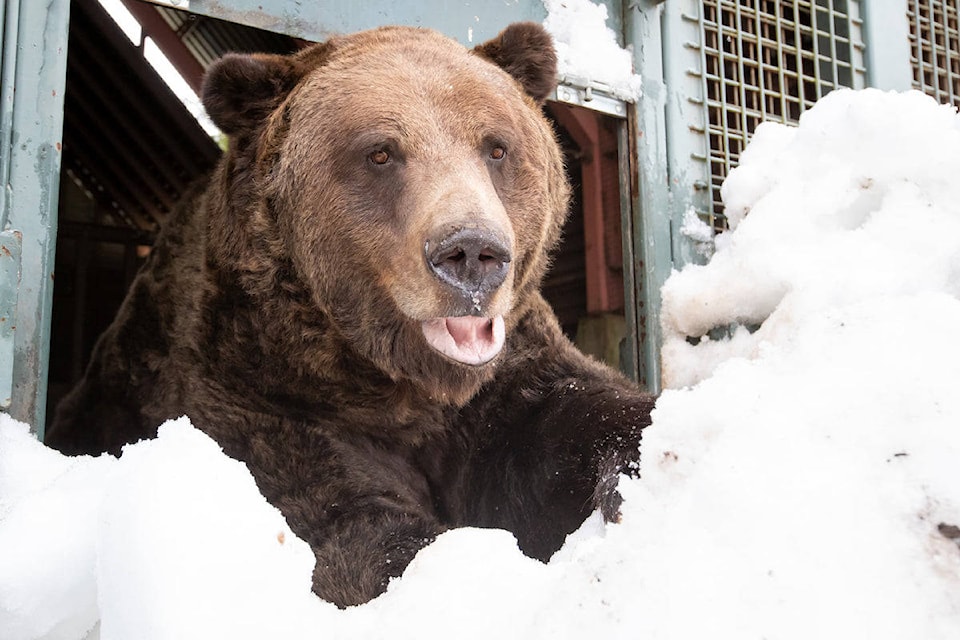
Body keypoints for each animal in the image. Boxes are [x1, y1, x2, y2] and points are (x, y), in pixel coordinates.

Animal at [48, 22, 656, 608]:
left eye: (497, 147)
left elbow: (577, 414)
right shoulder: (262, 392)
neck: (400, 383)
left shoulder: (506, 381)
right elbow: (349, 523)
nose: (472, 253)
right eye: (380, 153)